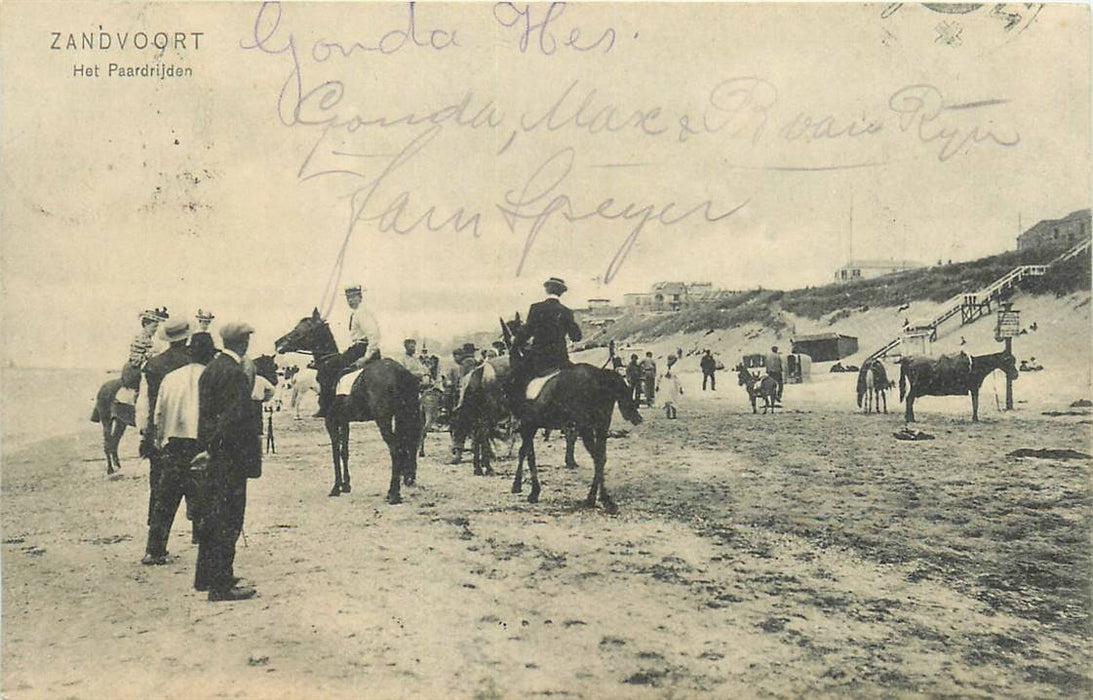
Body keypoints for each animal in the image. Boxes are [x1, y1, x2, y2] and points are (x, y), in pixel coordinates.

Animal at [273, 308, 421, 500]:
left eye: (300, 330)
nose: (278, 343)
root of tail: (400, 372)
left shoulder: (330, 421)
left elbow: (335, 451)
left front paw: (336, 487)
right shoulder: (344, 421)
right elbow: (345, 451)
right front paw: (346, 485)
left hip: (384, 420)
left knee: (396, 450)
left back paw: (393, 493)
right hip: (403, 416)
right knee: (405, 447)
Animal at [500, 317, 642, 514]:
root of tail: (600, 375)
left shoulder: (528, 425)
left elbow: (526, 453)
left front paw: (526, 488)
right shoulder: (530, 425)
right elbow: (527, 452)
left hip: (585, 427)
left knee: (597, 457)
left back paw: (597, 499)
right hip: (601, 425)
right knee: (601, 458)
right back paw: (600, 498)